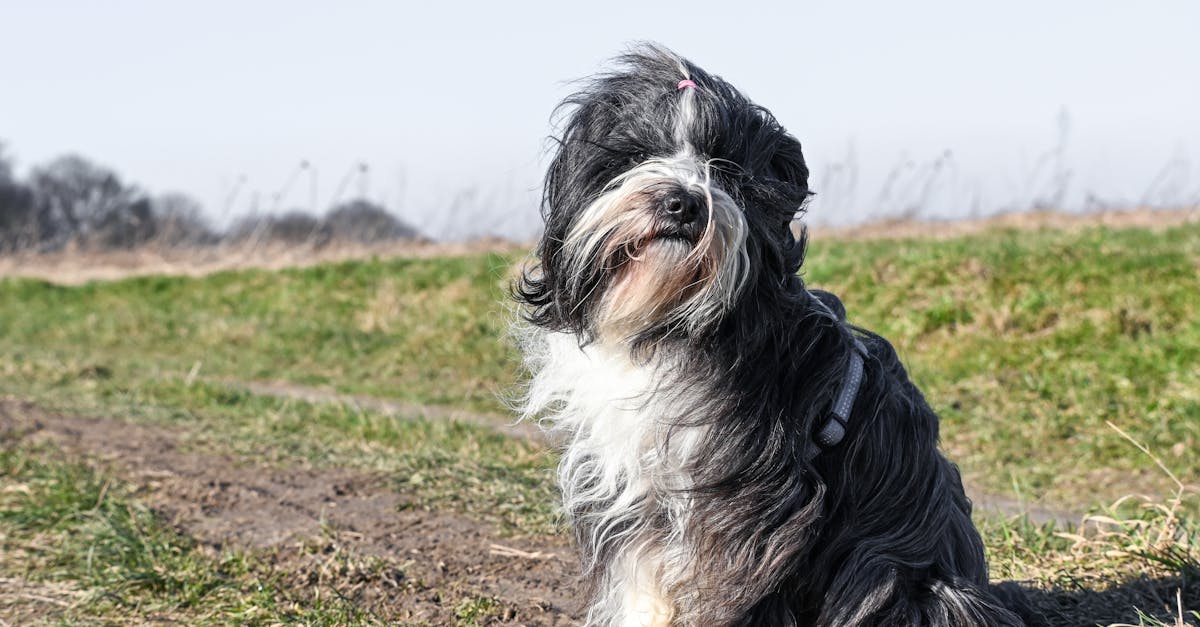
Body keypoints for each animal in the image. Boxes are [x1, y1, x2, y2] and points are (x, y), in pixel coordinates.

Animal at [511, 45, 1027, 624]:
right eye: (637, 155)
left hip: (906, 585)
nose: (683, 203)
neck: (670, 322)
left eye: (726, 167)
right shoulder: (637, 488)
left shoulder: (758, 505)